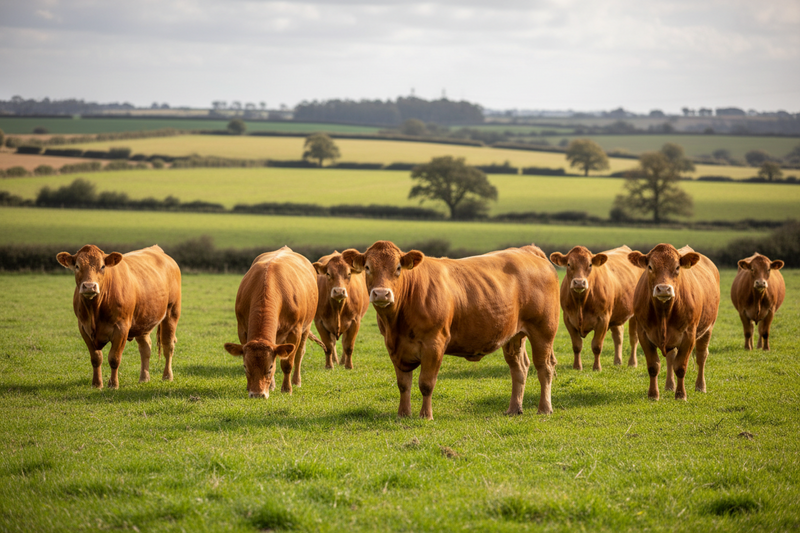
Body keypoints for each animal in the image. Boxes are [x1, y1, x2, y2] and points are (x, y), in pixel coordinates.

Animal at [56, 244, 181, 389]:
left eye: (102, 266)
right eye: (77, 266)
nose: (89, 286)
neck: (95, 310)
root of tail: (156, 249)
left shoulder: (121, 329)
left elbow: (114, 358)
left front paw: (113, 385)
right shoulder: (83, 328)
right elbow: (96, 358)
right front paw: (97, 384)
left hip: (172, 312)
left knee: (168, 345)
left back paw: (167, 376)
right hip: (143, 320)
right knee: (145, 348)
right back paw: (144, 378)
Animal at [224, 246, 319, 398]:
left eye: (270, 367)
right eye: (245, 367)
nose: (257, 394)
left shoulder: (294, 331)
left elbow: (287, 363)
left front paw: (287, 389)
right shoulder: (242, 329)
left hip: (306, 327)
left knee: (299, 354)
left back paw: (296, 381)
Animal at [341, 241, 560, 420]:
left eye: (398, 268)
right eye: (368, 267)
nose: (381, 294)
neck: (396, 324)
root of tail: (527, 250)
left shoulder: (434, 344)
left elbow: (426, 383)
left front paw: (425, 416)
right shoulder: (395, 347)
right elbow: (403, 384)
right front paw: (403, 414)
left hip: (544, 331)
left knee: (544, 367)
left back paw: (544, 408)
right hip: (513, 335)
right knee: (519, 368)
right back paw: (514, 409)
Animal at [628, 244, 720, 401]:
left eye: (677, 267)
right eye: (650, 266)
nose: (664, 289)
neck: (664, 313)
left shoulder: (689, 335)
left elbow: (681, 367)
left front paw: (681, 395)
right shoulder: (643, 333)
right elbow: (653, 366)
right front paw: (653, 395)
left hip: (708, 328)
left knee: (701, 356)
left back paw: (700, 386)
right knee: (671, 358)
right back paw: (669, 385)